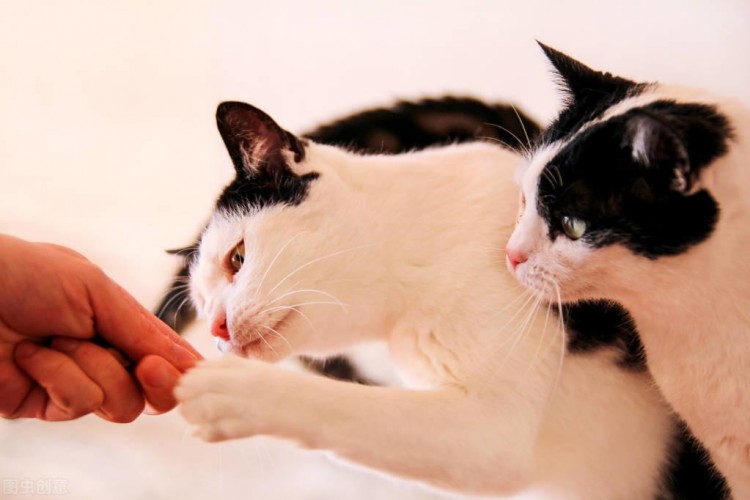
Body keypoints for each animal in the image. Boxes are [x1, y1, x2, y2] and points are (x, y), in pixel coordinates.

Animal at [172, 99, 728, 498]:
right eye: (201, 302)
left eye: (237, 258)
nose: (217, 329)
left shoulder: (491, 432)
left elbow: (349, 408)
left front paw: (233, 391)